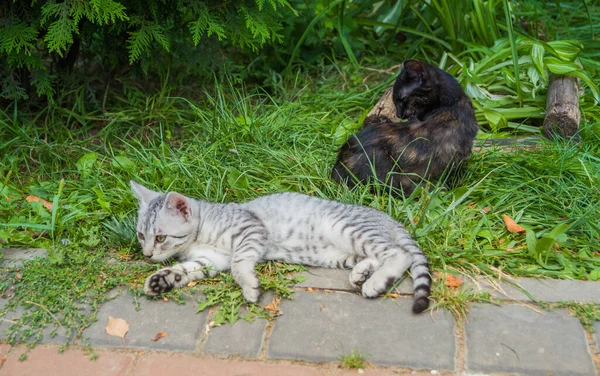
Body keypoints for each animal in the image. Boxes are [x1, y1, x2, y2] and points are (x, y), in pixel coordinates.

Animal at [131, 181, 432, 312]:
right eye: (140, 235)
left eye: (160, 237)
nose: (147, 254)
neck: (201, 232)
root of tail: (388, 217)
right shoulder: (211, 260)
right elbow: (185, 270)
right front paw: (160, 280)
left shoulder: (250, 230)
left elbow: (240, 264)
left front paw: (250, 287)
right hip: (339, 254)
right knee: (375, 256)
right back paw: (362, 274)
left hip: (347, 228)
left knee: (400, 254)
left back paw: (376, 282)